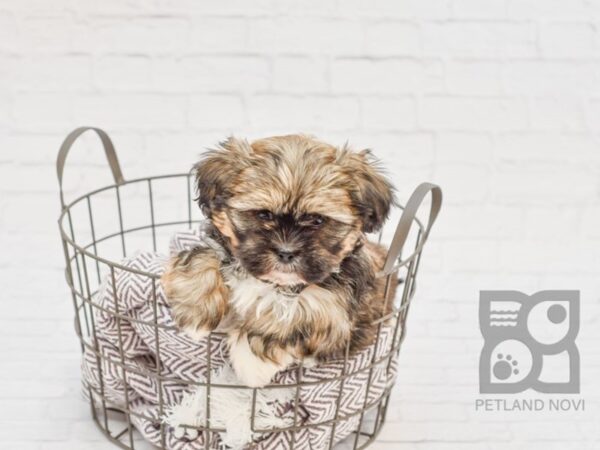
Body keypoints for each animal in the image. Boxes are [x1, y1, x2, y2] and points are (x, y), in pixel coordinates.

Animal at [164, 134, 396, 386]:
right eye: (263, 214)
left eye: (317, 220)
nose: (286, 252)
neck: (273, 283)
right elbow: (201, 255)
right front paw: (195, 313)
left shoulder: (335, 312)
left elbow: (294, 310)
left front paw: (250, 361)